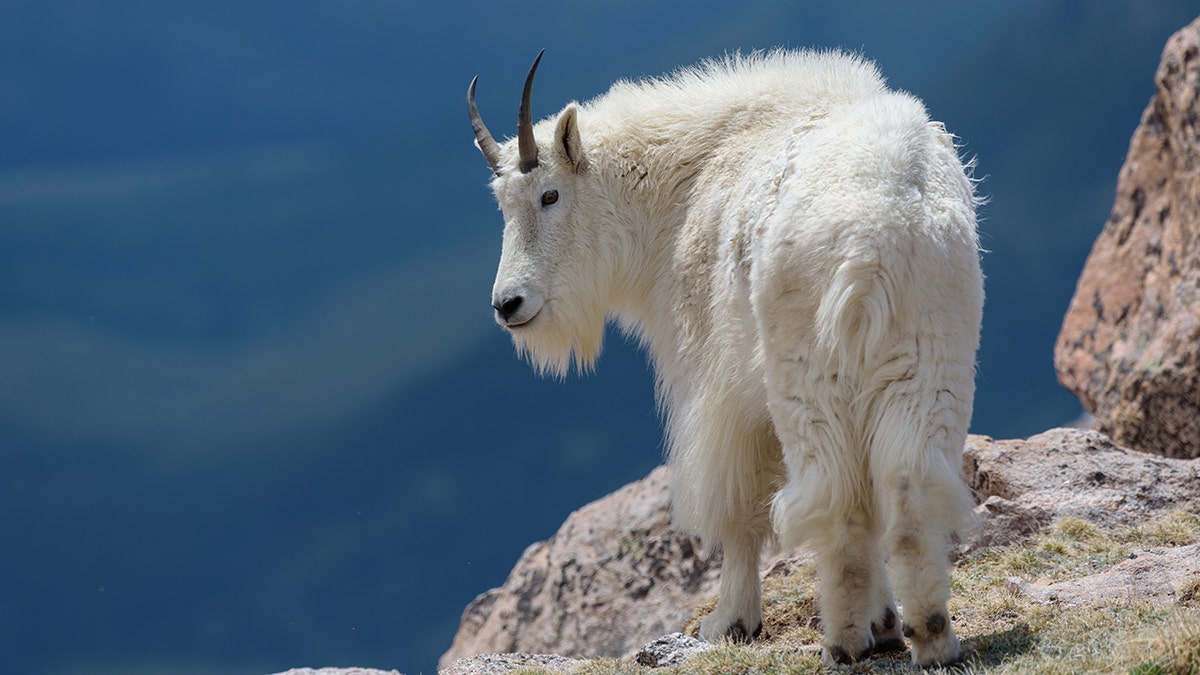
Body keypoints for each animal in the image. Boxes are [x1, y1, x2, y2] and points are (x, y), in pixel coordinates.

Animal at [468, 49, 984, 662]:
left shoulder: (716, 383)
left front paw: (730, 621)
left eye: (549, 195)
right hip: (931, 356)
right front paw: (885, 622)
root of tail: (874, 234)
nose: (508, 304)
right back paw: (929, 633)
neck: (679, 189)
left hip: (809, 375)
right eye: (501, 206)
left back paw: (843, 640)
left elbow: (737, 507)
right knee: (906, 488)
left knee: (835, 496)